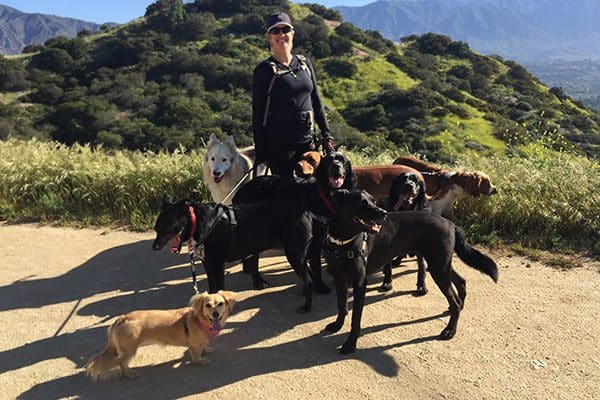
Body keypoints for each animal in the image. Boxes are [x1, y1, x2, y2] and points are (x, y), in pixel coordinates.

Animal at [86, 290, 237, 382]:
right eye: (207, 305)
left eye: (220, 304)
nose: (215, 314)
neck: (201, 320)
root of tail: (121, 319)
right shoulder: (194, 346)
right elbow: (195, 356)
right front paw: (200, 361)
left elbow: (204, 346)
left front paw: (207, 349)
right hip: (129, 351)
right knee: (121, 362)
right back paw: (129, 374)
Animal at [152, 196, 316, 312]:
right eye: (156, 228)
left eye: (167, 227)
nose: (154, 247)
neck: (197, 222)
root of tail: (306, 212)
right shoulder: (208, 264)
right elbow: (212, 288)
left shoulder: (217, 266)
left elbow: (218, 288)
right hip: (299, 256)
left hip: (294, 255)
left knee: (309, 280)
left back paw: (307, 307)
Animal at [324, 191, 496, 354]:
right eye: (362, 202)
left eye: (373, 200)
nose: (384, 213)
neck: (342, 241)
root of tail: (451, 224)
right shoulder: (339, 276)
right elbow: (341, 305)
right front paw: (337, 325)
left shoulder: (359, 282)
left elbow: (355, 319)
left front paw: (350, 344)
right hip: (441, 264)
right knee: (461, 282)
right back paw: (458, 309)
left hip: (438, 267)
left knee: (455, 300)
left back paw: (450, 330)